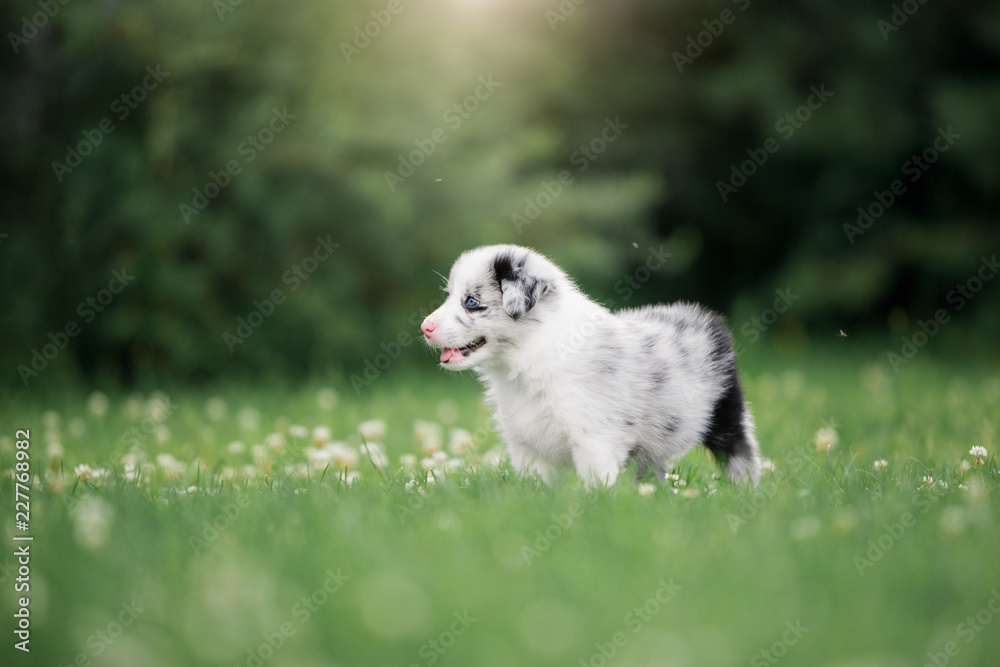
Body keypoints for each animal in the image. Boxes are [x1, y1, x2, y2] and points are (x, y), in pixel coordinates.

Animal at [418, 244, 760, 486]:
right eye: (450, 296)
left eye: (471, 302)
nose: (425, 327)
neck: (529, 355)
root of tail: (704, 316)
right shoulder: (527, 445)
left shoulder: (594, 440)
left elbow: (597, 487)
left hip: (727, 413)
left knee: (742, 455)